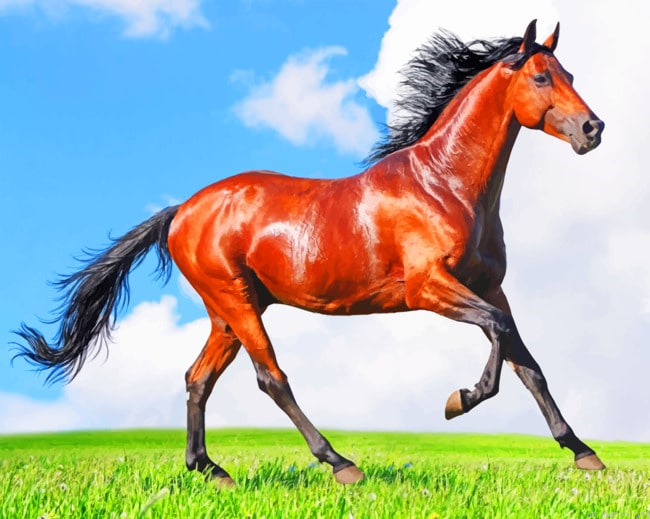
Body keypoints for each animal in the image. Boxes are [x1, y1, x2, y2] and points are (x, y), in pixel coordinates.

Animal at [14, 20, 605, 486]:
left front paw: (583, 453)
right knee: (270, 377)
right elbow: (500, 340)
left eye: (571, 76)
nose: (593, 128)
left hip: (228, 312)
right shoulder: (429, 288)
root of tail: (182, 210)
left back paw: (211, 470)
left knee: (198, 378)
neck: (444, 185)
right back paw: (341, 463)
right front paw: (458, 400)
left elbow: (528, 363)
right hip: (236, 303)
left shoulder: (490, 287)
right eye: (541, 77)